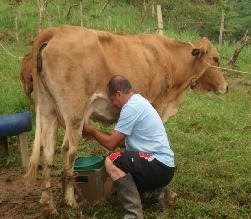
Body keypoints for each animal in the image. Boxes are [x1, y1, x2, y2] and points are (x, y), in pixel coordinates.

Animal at [25, 26, 227, 214]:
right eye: (216, 59)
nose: (226, 86)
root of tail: (57, 30)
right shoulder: (157, 107)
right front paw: (164, 194)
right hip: (74, 113)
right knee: (67, 150)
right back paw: (70, 201)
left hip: (47, 109)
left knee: (47, 151)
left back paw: (48, 204)